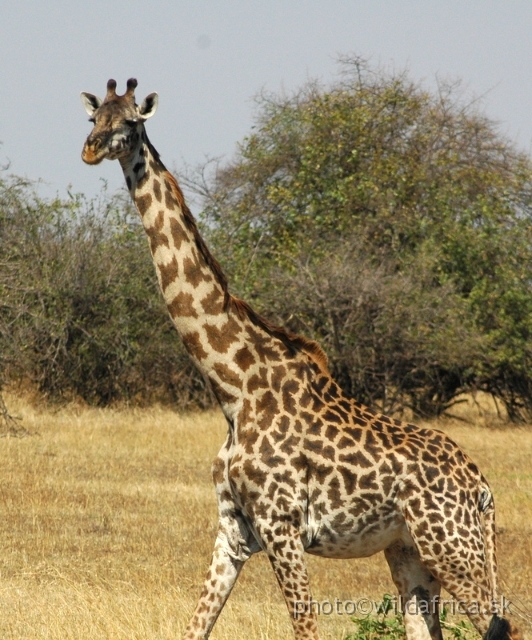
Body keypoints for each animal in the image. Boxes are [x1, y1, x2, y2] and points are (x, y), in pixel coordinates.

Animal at [81, 80, 520, 640]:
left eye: (131, 122)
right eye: (94, 118)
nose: (92, 149)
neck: (234, 388)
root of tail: (482, 487)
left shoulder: (280, 524)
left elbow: (306, 625)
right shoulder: (233, 528)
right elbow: (195, 625)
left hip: (453, 546)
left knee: (504, 622)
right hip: (411, 551)